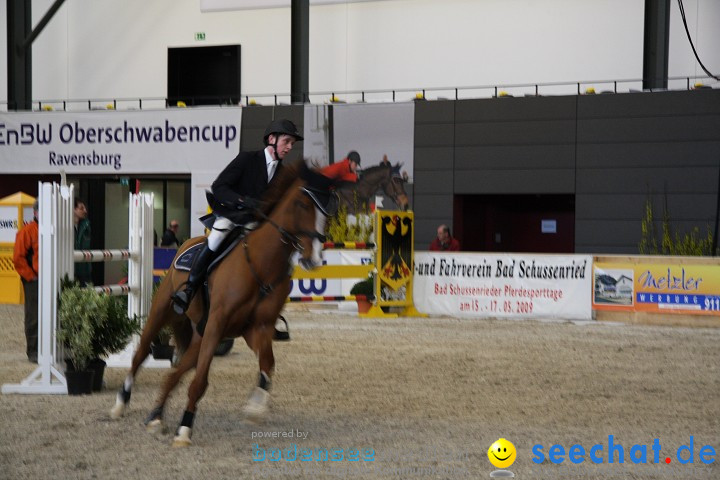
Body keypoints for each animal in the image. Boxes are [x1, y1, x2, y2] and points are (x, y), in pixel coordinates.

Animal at [109, 158, 332, 446]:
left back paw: (156, 416)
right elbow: (201, 381)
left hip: (199, 334)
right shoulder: (217, 323)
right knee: (141, 354)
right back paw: (121, 403)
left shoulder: (256, 329)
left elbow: (267, 367)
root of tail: (188, 243)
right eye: (302, 205)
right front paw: (185, 428)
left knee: (176, 372)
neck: (261, 264)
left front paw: (255, 408)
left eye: (327, 211)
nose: (313, 259)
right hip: (163, 312)